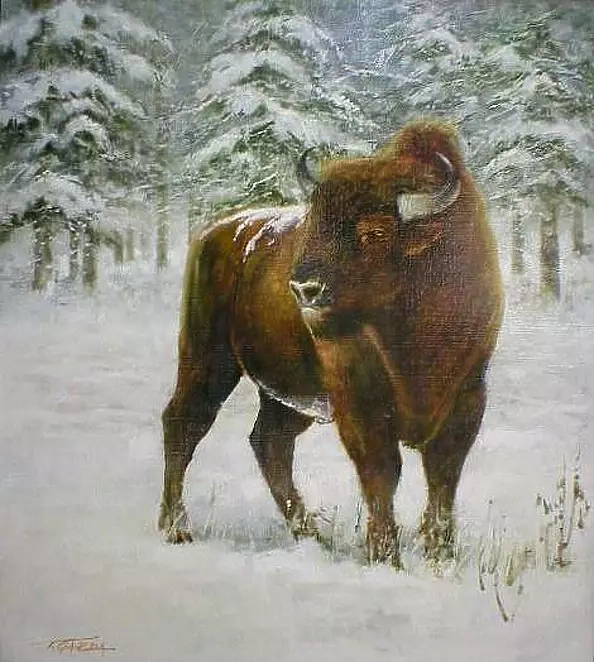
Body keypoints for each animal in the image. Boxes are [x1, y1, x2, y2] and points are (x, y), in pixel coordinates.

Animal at [158, 119, 504, 566]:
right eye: (314, 220)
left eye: (375, 233)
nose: (304, 289)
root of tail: (216, 231)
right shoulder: (357, 398)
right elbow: (382, 471)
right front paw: (385, 556)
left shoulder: (468, 394)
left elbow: (443, 476)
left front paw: (440, 552)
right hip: (207, 357)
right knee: (185, 423)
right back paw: (177, 528)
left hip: (286, 391)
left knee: (269, 442)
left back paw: (312, 536)